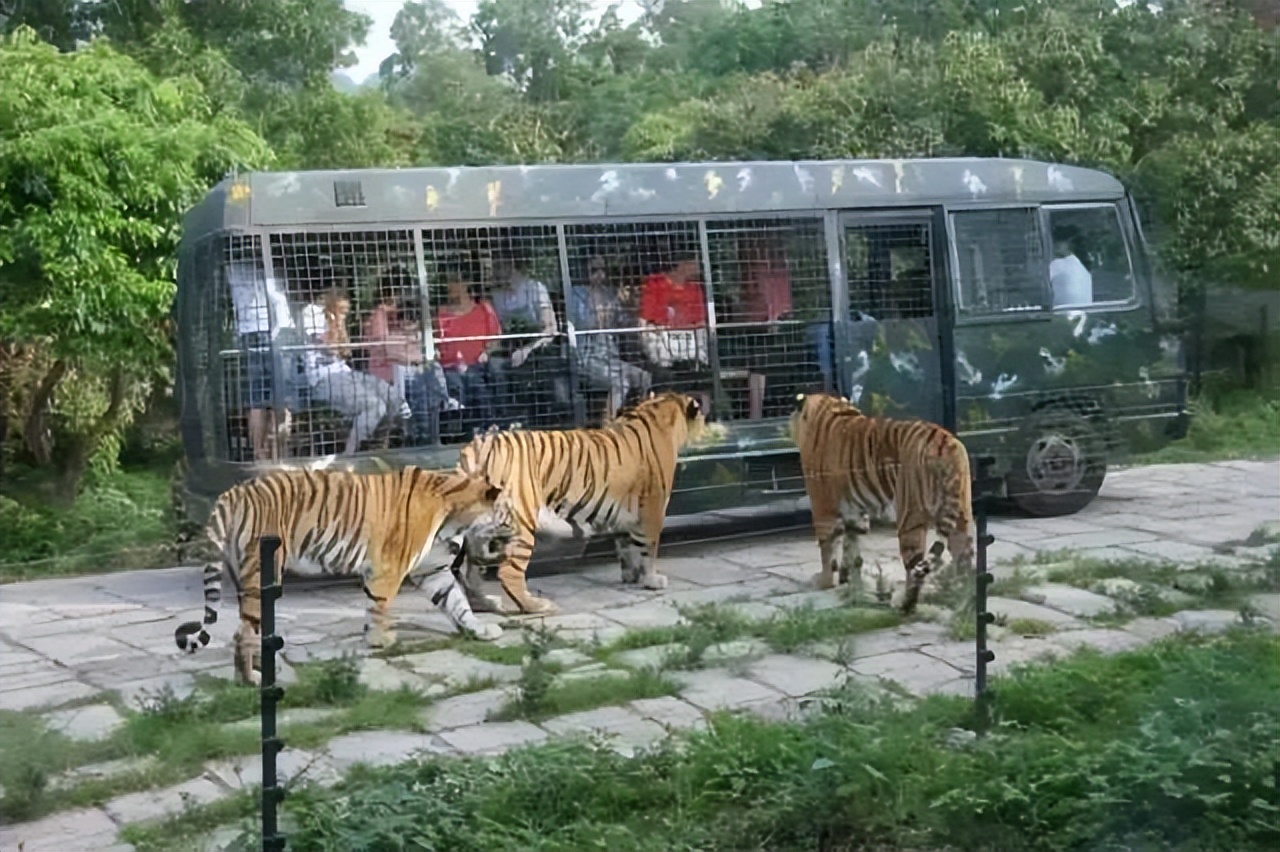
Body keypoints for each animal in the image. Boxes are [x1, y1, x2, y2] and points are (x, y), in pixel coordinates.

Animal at [174, 465, 514, 685]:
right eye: (507, 513)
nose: (516, 532)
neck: (454, 516)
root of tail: (231, 494)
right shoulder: (389, 566)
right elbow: (379, 605)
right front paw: (380, 641)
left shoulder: (433, 570)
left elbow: (457, 603)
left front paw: (480, 630)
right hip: (262, 574)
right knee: (241, 633)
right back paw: (251, 680)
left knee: (248, 626)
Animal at [455, 388, 706, 614]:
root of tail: (477, 446)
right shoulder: (653, 508)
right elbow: (648, 548)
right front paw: (652, 580)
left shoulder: (624, 513)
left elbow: (627, 547)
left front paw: (631, 576)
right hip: (521, 520)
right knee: (508, 573)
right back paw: (537, 606)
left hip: (482, 526)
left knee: (471, 564)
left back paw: (483, 603)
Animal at [783, 391, 972, 611]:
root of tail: (945, 440)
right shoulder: (854, 511)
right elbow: (851, 546)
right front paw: (849, 579)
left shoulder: (822, 506)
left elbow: (827, 548)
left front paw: (824, 581)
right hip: (962, 513)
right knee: (965, 556)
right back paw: (964, 598)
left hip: (910, 515)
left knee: (914, 566)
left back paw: (905, 604)